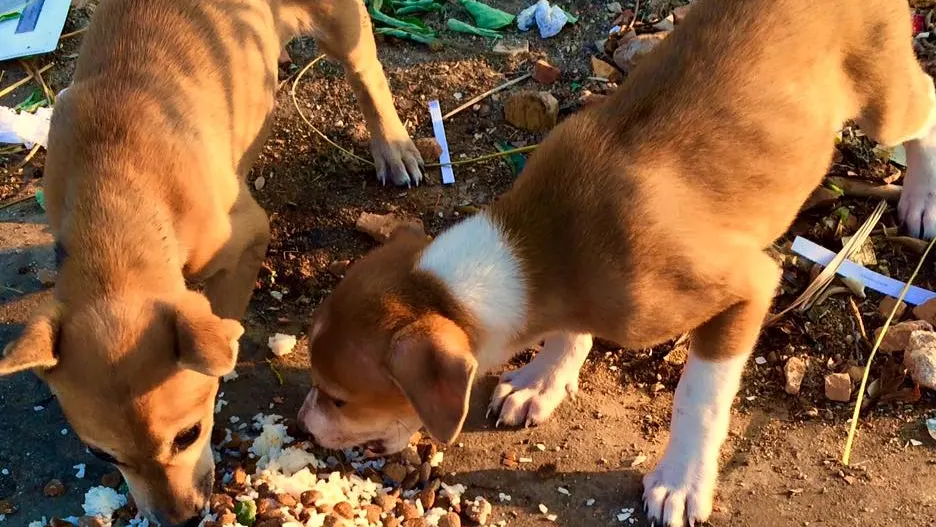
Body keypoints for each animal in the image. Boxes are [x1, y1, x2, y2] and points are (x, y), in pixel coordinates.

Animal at [0, 0, 420, 524]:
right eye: (102, 454)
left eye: (188, 436)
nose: (178, 519)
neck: (115, 194)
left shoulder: (248, 237)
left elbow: (223, 315)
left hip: (340, 24)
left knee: (365, 68)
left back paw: (392, 143)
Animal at [300, 0, 936, 524]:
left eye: (339, 397)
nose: (304, 422)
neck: (534, 247)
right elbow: (567, 331)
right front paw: (543, 380)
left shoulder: (748, 286)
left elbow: (699, 397)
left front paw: (681, 481)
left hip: (882, 100)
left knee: (924, 103)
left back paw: (922, 199)